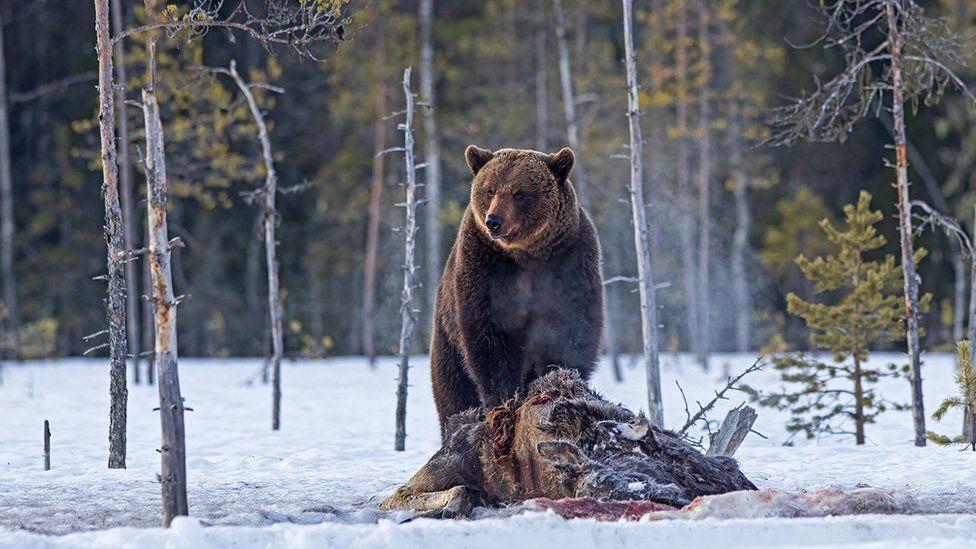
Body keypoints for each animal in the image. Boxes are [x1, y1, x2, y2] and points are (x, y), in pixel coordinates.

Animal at [429, 145, 604, 437]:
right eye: (489, 190)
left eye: (519, 193)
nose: (493, 221)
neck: (526, 254)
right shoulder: (483, 265)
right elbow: (488, 336)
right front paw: (504, 399)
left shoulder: (570, 259)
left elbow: (572, 326)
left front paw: (557, 381)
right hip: (447, 339)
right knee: (453, 390)